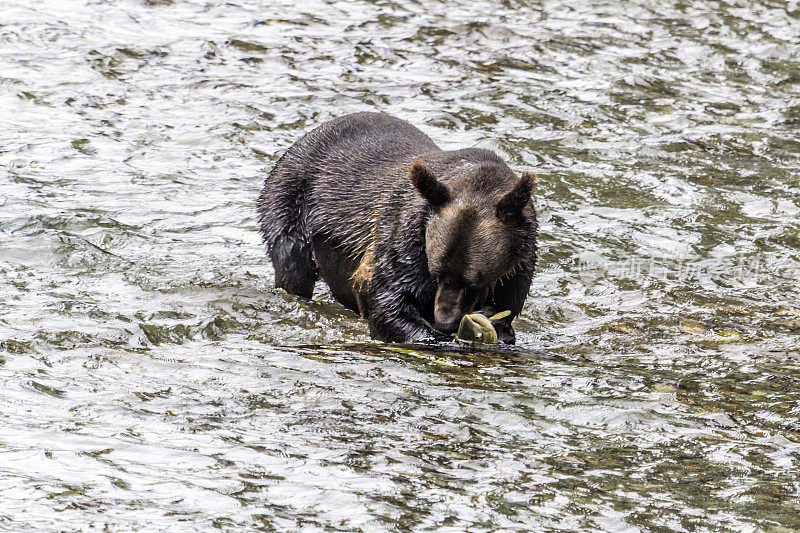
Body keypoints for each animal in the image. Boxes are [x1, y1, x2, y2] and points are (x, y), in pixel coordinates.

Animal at [260, 112, 540, 344]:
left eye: (474, 280)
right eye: (436, 271)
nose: (445, 321)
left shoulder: (518, 263)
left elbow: (508, 303)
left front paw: (494, 323)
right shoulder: (404, 237)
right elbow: (391, 300)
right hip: (290, 197)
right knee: (293, 263)